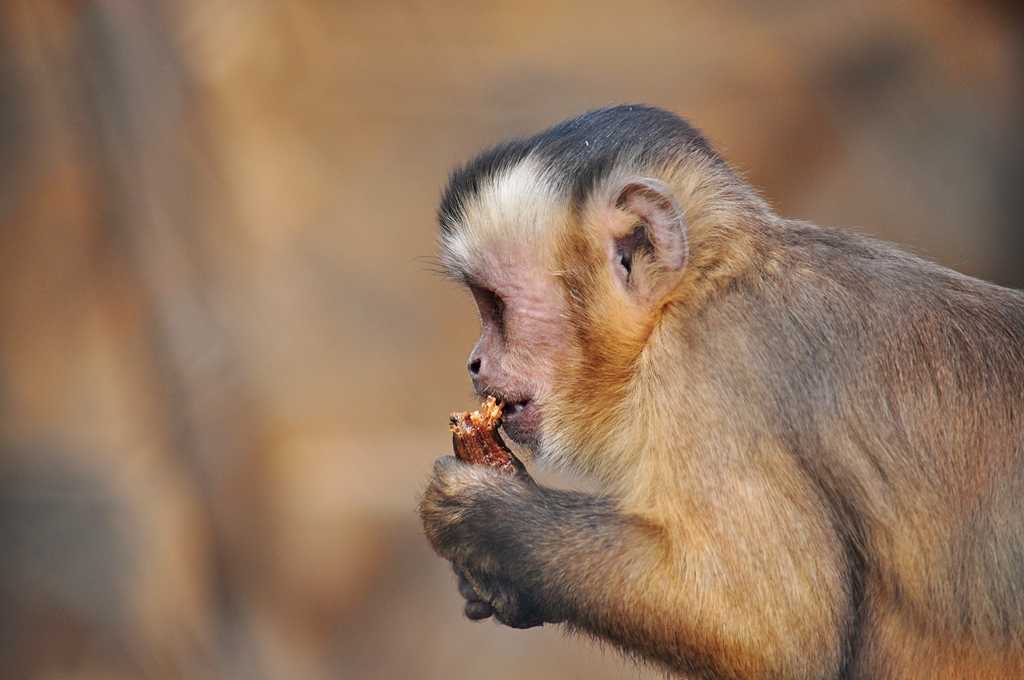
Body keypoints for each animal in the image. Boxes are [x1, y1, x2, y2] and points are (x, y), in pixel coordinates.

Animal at [419, 105, 1024, 679]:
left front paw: (489, 519)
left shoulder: (707, 367)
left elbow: (773, 635)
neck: (702, 285)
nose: (474, 362)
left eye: (495, 306)